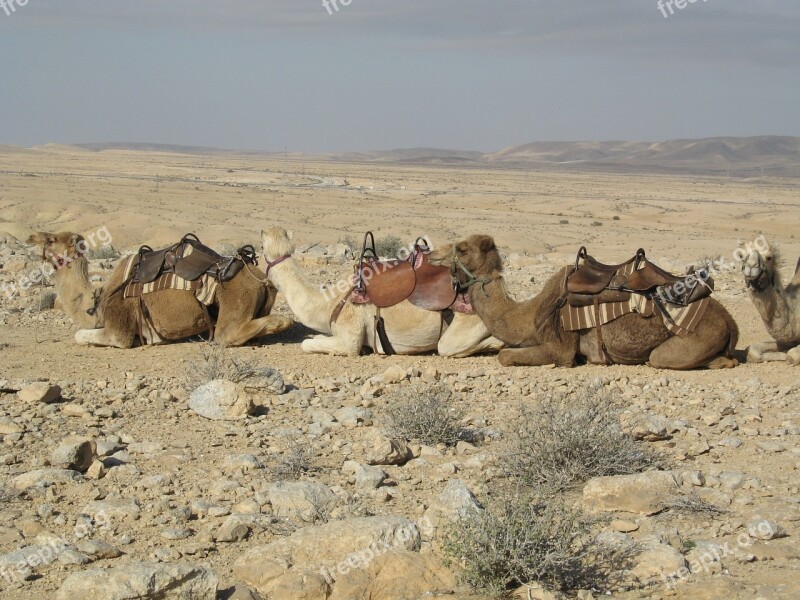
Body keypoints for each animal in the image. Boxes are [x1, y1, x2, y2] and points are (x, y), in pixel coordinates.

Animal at [28, 233, 296, 350]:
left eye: (51, 240)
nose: (32, 237)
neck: (97, 300)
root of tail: (261, 279)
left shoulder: (119, 332)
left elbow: (81, 335)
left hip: (234, 301)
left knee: (228, 334)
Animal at [260, 226, 504, 356]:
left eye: (261, 248)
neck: (330, 302)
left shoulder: (349, 335)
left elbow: (307, 343)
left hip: (465, 325)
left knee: (451, 345)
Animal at [432, 236, 736, 370]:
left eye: (462, 248)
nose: (431, 252)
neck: (529, 313)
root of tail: (730, 320)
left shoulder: (560, 346)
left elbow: (505, 355)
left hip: (690, 340)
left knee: (663, 358)